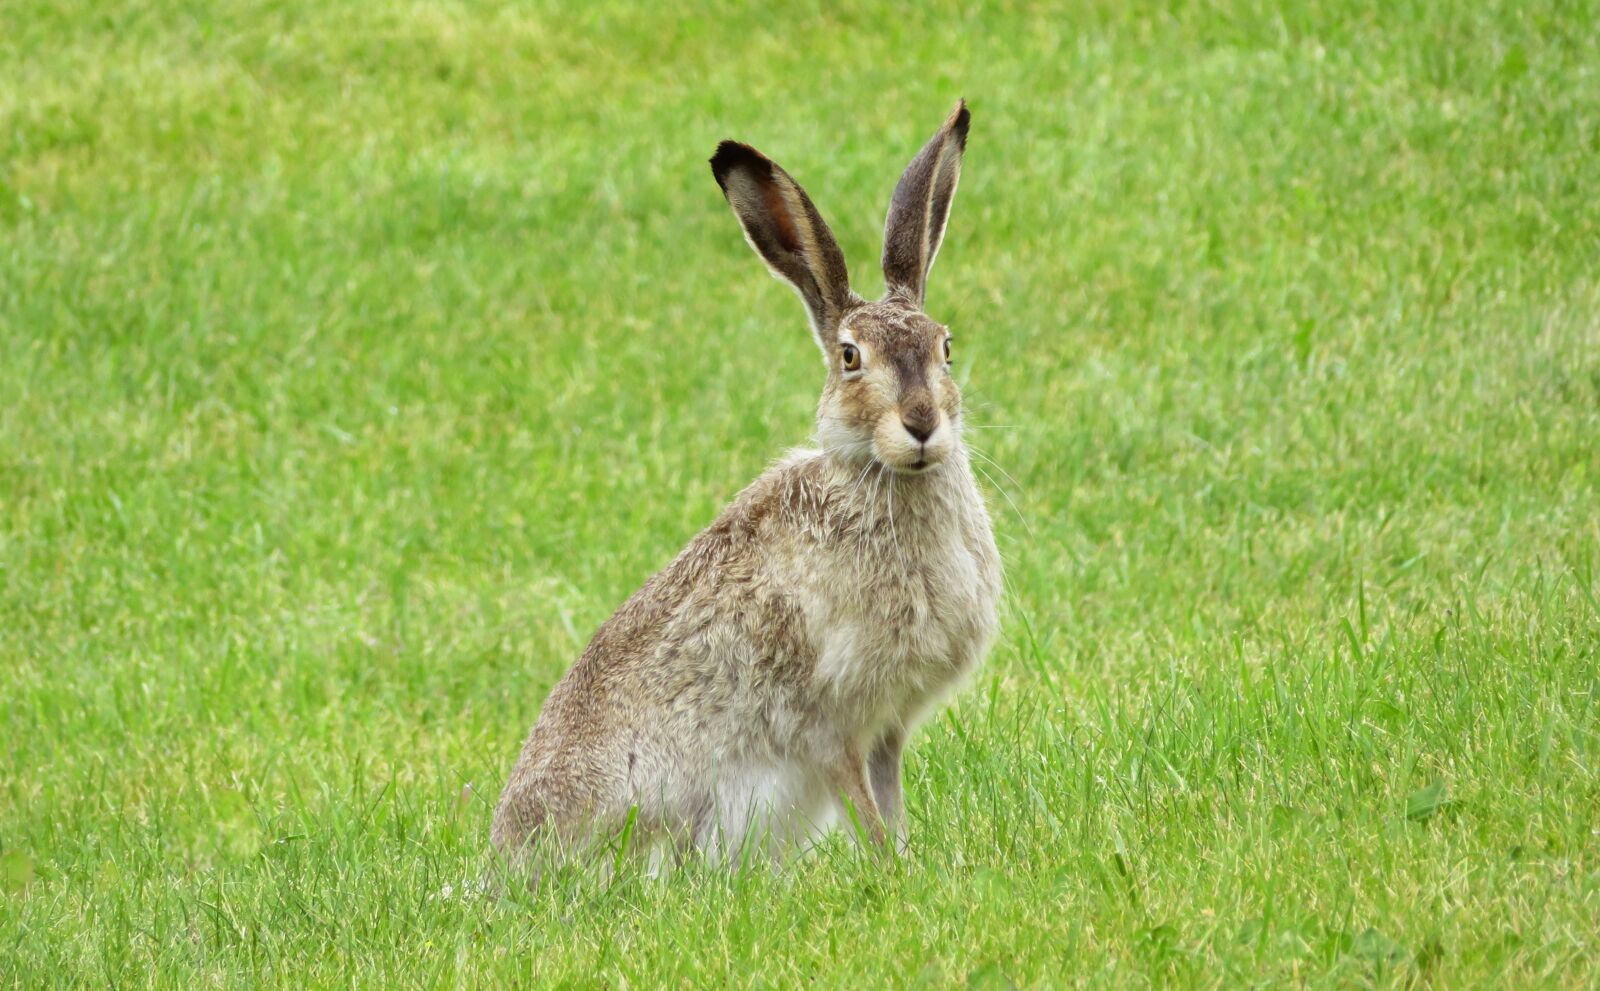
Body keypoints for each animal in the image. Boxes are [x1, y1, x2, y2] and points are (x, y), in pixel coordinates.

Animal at [492, 100, 998, 870]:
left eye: (945, 346)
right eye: (850, 358)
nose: (921, 424)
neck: (879, 478)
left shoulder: (886, 727)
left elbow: (890, 800)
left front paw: (909, 864)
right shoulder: (830, 723)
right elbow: (863, 805)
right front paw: (891, 871)